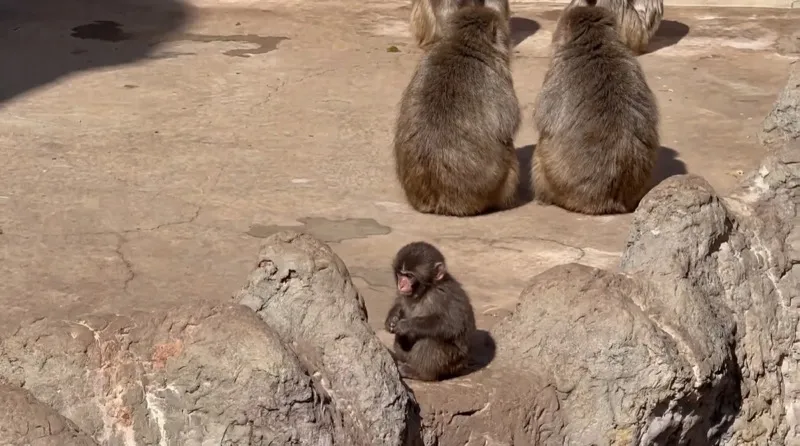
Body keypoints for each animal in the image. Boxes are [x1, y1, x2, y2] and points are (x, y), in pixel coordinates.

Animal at [384, 242, 476, 381]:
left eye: (409, 276)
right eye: (400, 274)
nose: (401, 284)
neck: (426, 291)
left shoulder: (443, 295)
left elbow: (452, 325)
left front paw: (406, 325)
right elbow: (400, 302)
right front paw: (392, 317)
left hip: (453, 364)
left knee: (431, 341)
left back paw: (418, 373)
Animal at [394, 3, 521, 217]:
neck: (463, 45)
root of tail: (442, 203)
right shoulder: (499, 78)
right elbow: (508, 126)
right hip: (493, 187)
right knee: (508, 151)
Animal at [531, 5, 660, 215]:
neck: (596, 44)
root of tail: (607, 202)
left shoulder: (557, 70)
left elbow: (543, 120)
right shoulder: (633, 65)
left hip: (554, 179)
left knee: (540, 153)